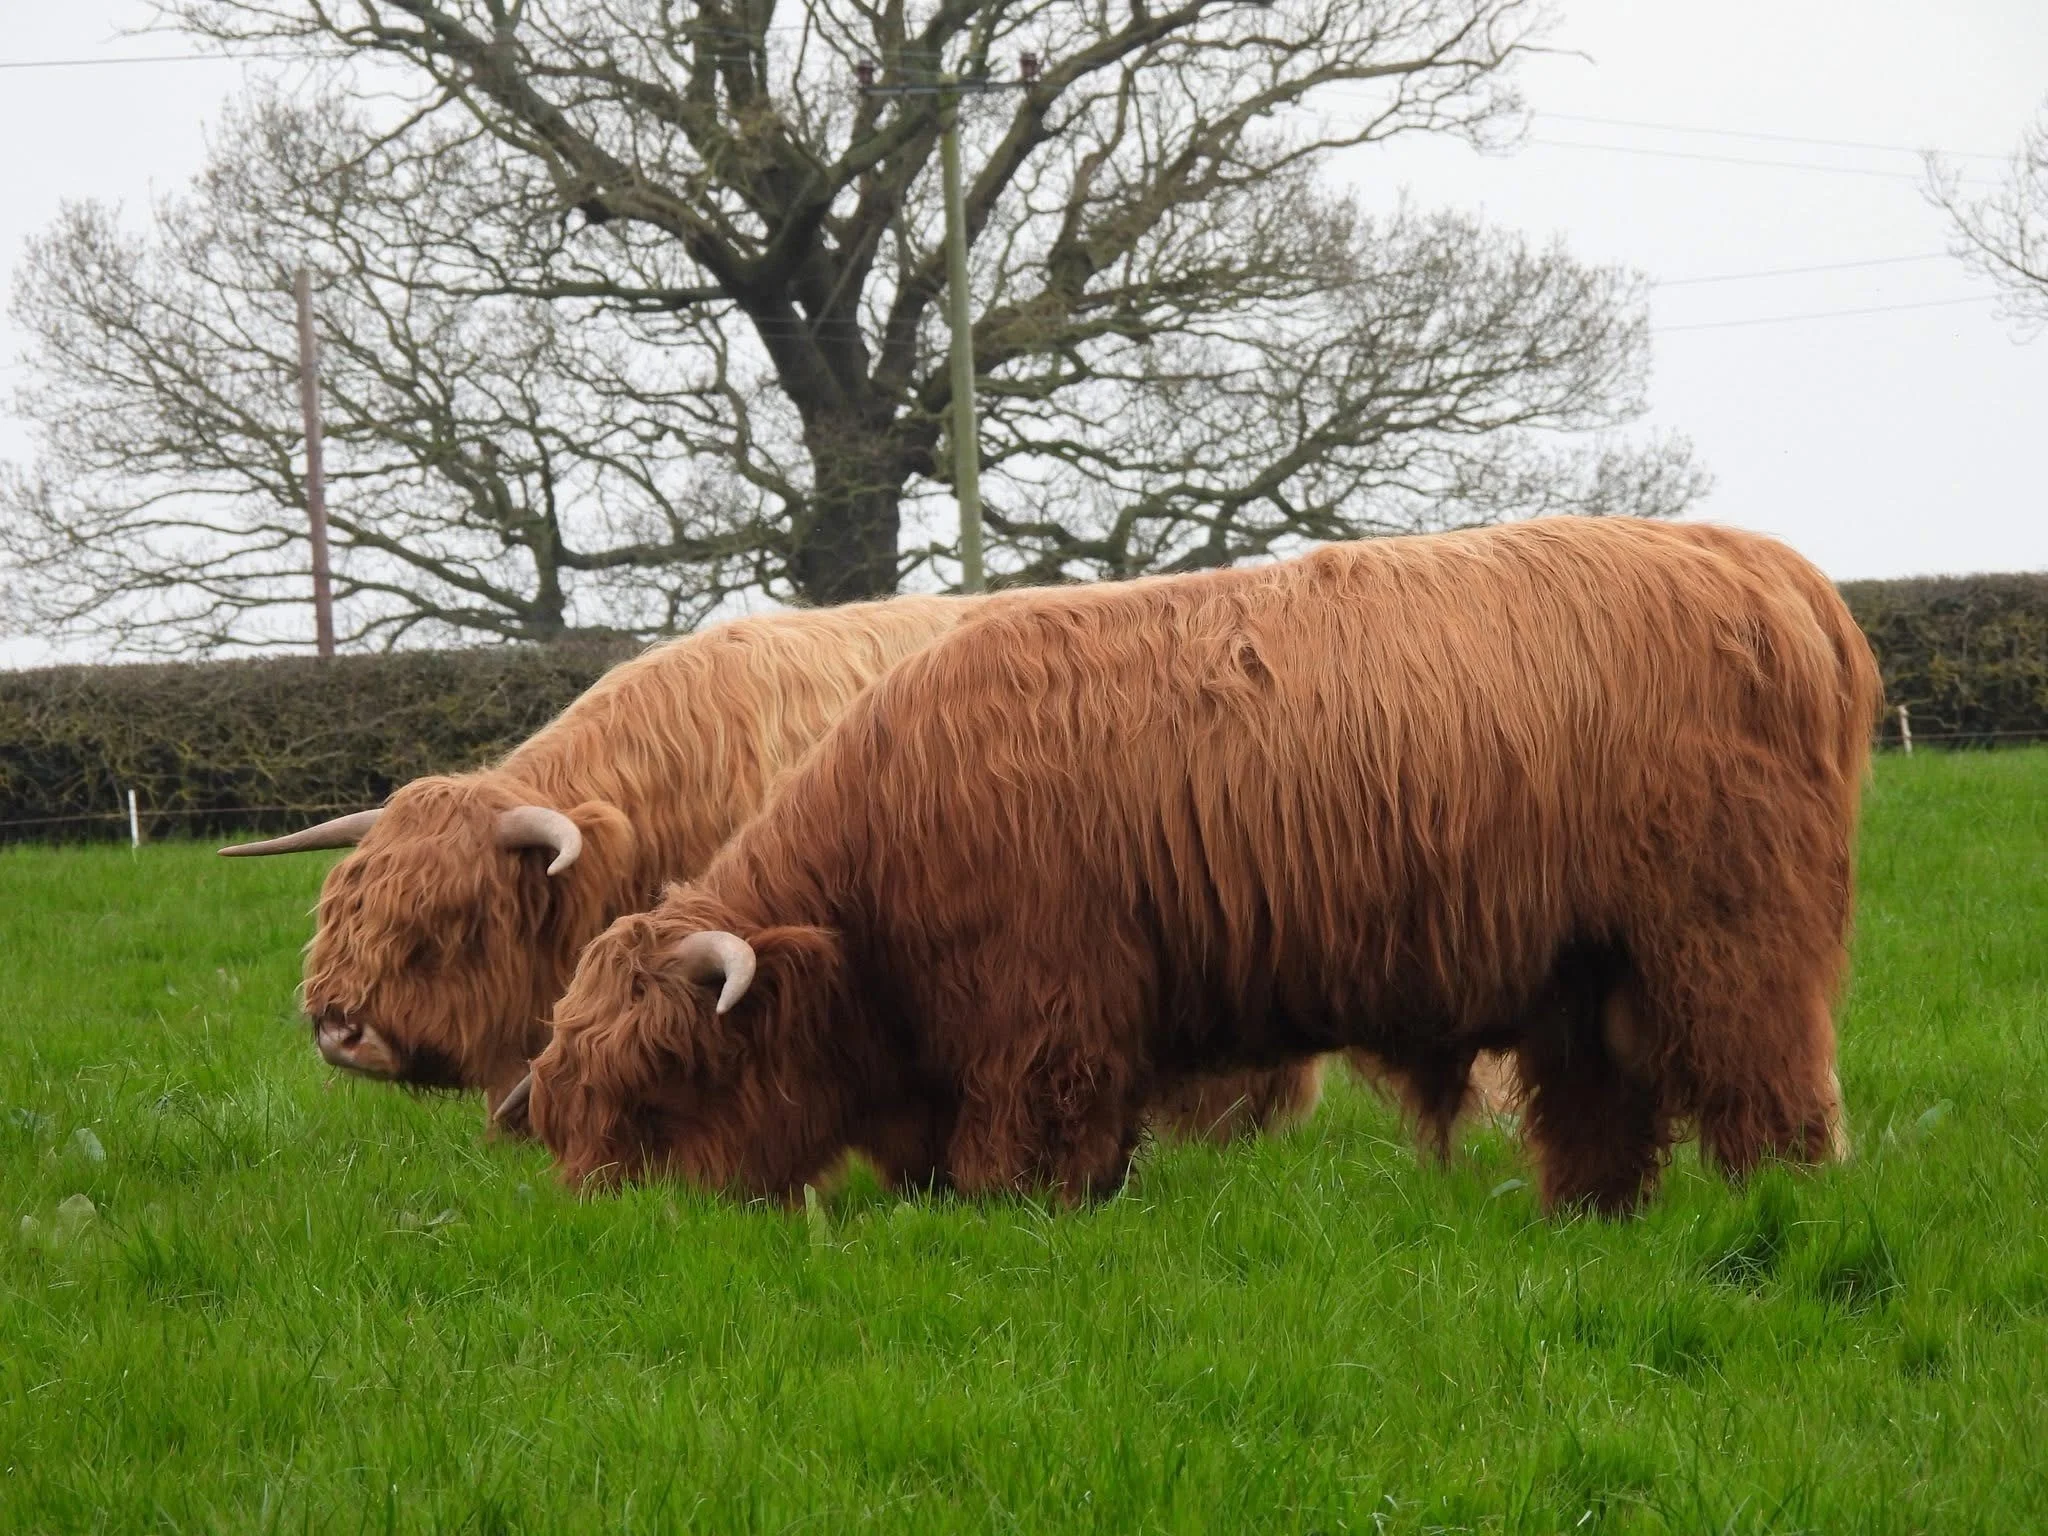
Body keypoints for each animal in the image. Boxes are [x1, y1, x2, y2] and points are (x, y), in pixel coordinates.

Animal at [510, 518, 1881, 1215]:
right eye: (567, 1104)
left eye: (664, 1083)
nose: (604, 1225)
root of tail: (1771, 568)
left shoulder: (1042, 1014)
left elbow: (1025, 1154)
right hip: (1579, 971)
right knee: (1599, 1101)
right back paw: (1584, 1215)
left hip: (1724, 939)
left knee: (1765, 1089)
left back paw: (1775, 1208)